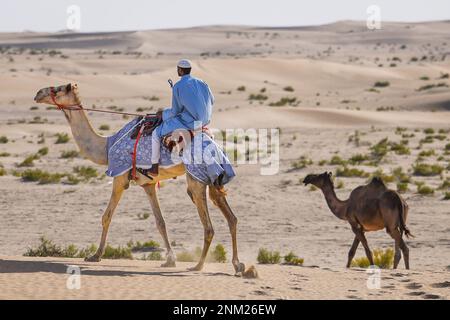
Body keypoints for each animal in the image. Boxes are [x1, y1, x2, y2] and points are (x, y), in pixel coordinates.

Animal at [33, 83, 246, 276]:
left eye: (58, 89)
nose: (37, 93)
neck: (106, 146)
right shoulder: (148, 184)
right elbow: (160, 222)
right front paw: (170, 260)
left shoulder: (119, 177)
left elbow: (106, 216)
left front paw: (95, 255)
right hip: (213, 180)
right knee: (232, 218)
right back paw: (237, 265)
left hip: (196, 178)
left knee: (208, 226)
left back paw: (198, 266)